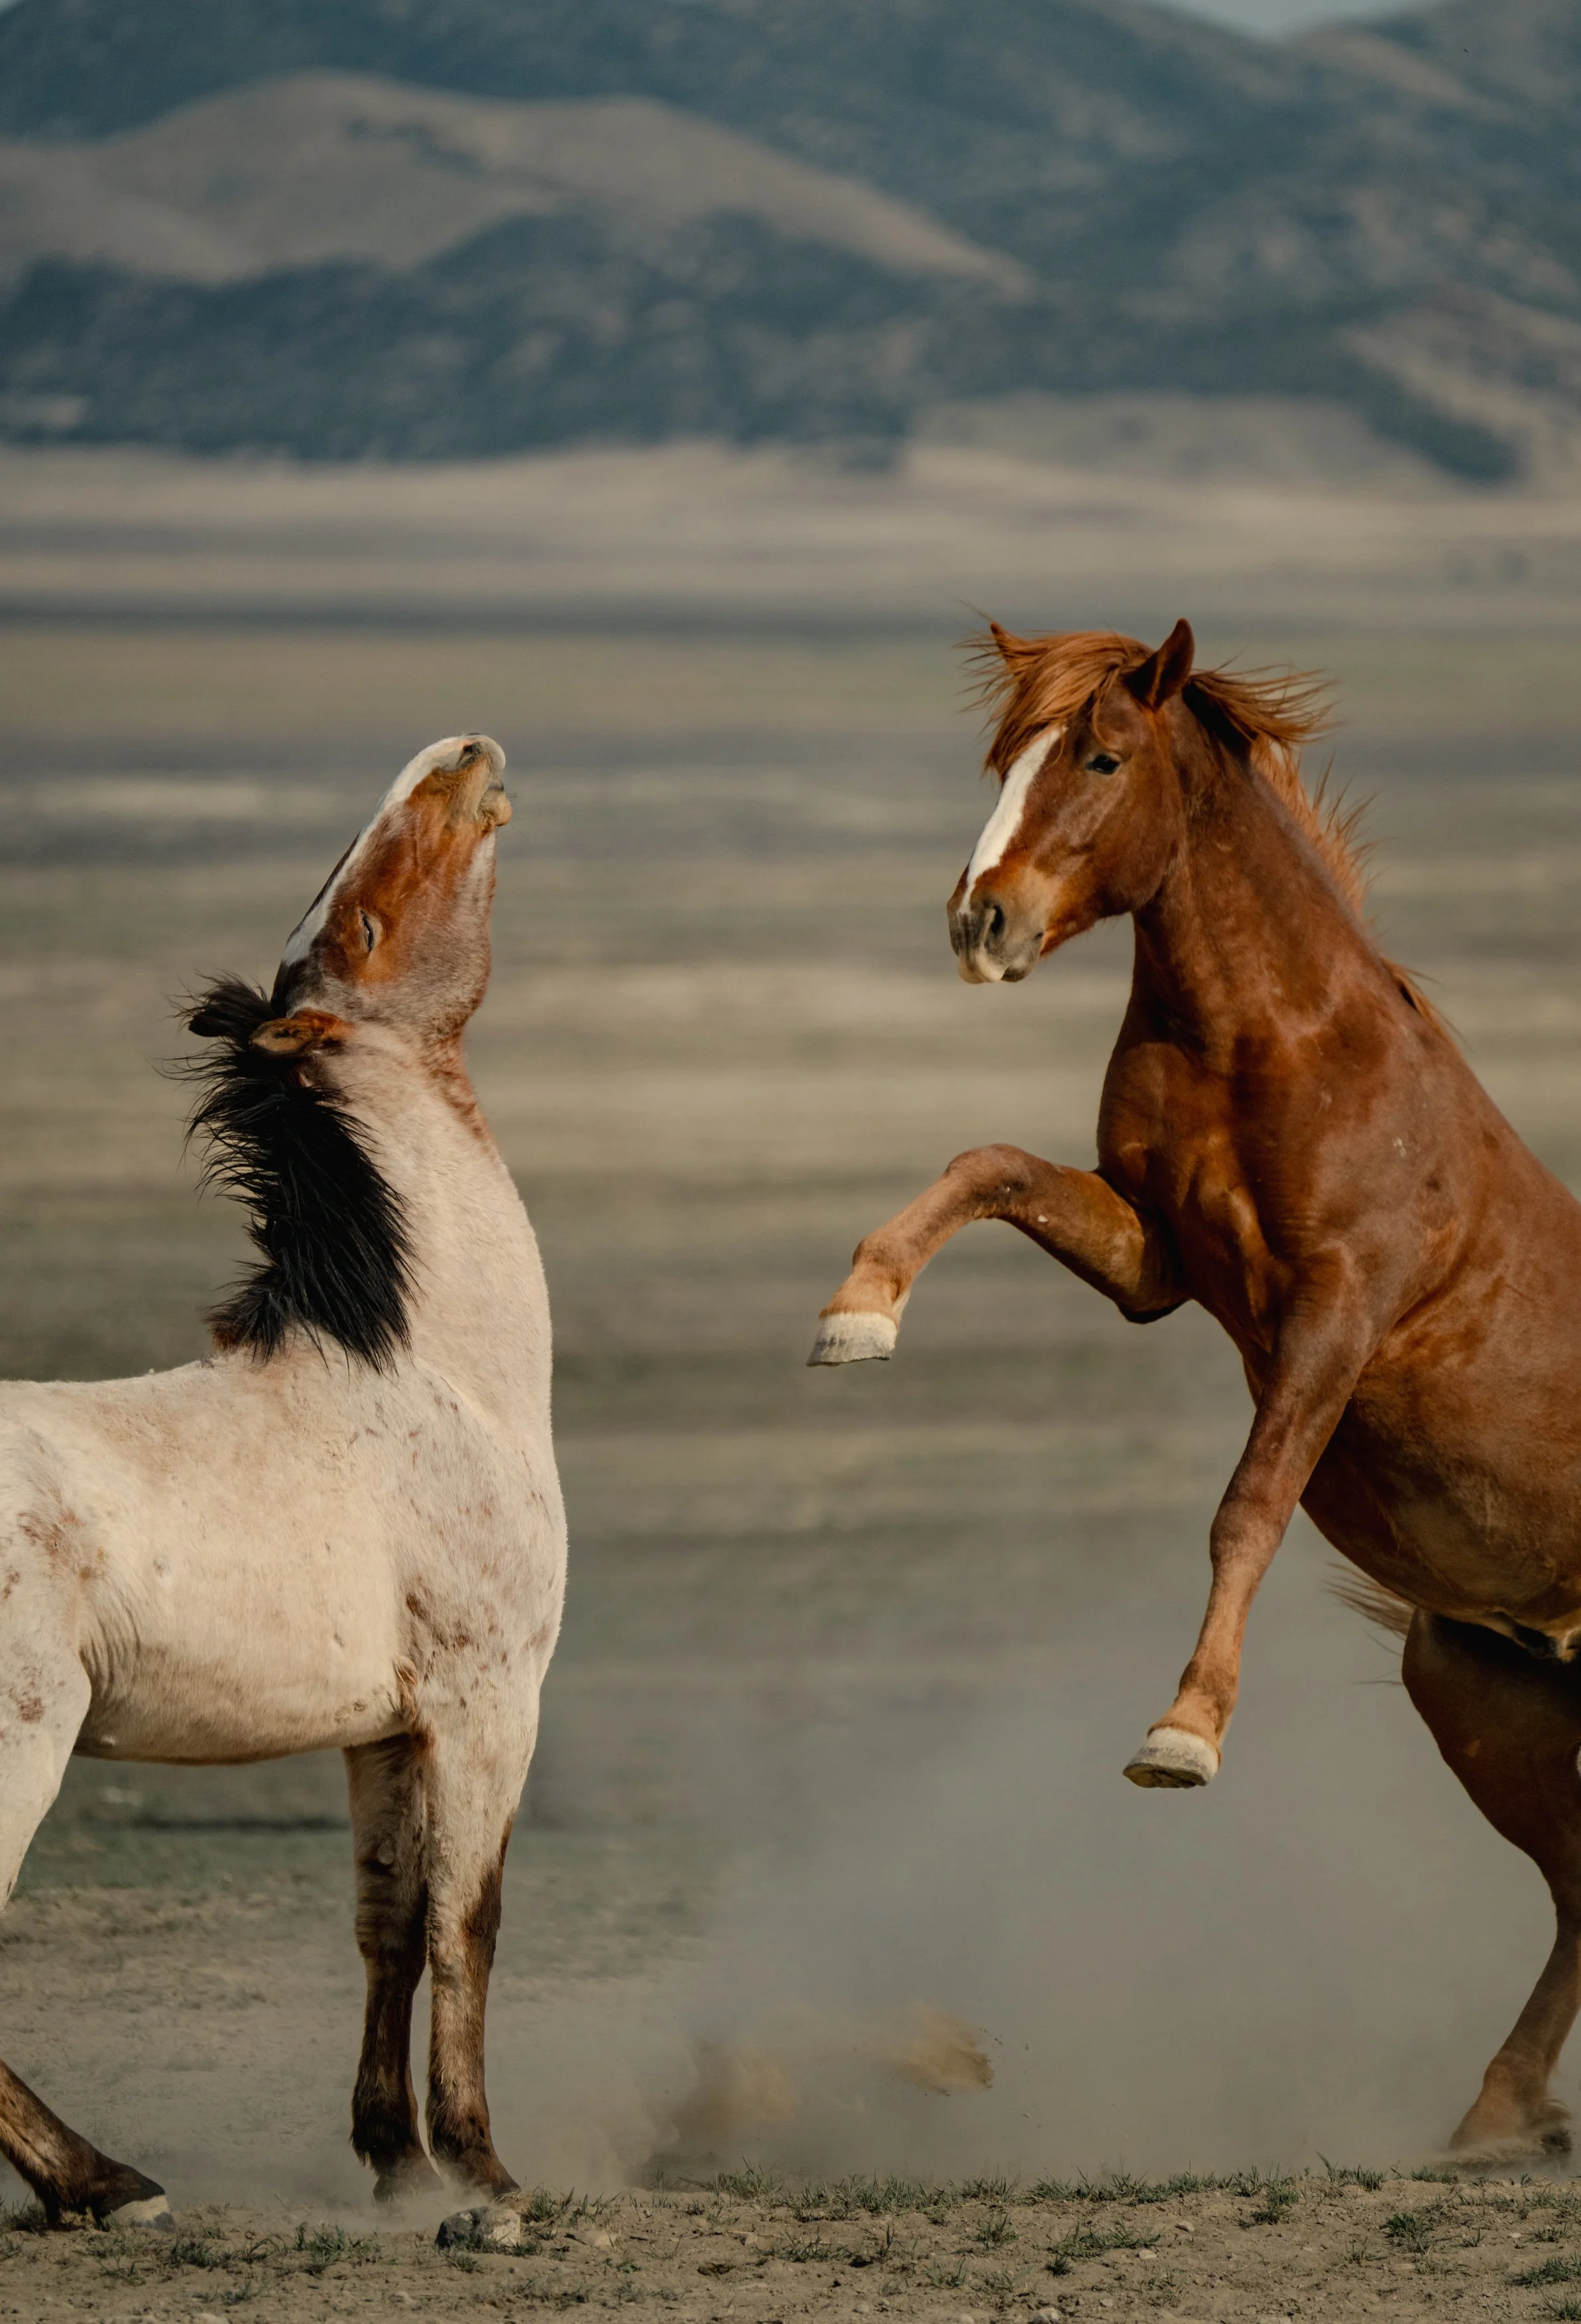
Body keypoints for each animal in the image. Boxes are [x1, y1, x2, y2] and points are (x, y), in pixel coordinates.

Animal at [0, 736, 564, 2227]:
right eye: (363, 923)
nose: (465, 751)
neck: (429, 1375)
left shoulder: (386, 1729)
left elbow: (386, 1921)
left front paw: (395, 2163)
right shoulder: (490, 1702)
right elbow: (470, 1919)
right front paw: (484, 2173)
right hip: (24, 1741)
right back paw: (108, 2182)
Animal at [810, 617, 1581, 2163]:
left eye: (1102, 756)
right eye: (1005, 757)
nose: (980, 925)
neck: (1278, 1042)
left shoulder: (1334, 1317)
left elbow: (1248, 1509)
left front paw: (1180, 1735)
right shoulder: (1157, 1260)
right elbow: (986, 1163)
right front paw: (858, 1313)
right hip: (1484, 1688)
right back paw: (1495, 2112)